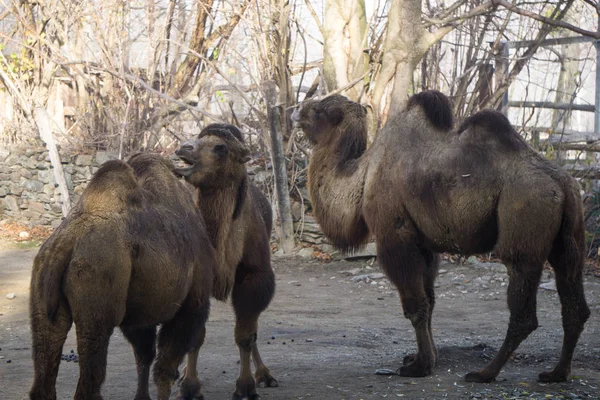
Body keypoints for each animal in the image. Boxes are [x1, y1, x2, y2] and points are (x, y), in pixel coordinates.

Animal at [29, 154, 216, 400]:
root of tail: (64, 244)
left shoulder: (139, 316)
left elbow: (144, 356)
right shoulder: (191, 305)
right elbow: (165, 368)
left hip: (42, 294)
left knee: (45, 369)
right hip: (96, 300)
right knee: (90, 375)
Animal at [173, 123, 276, 400]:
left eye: (221, 148)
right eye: (199, 139)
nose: (183, 148)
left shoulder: (255, 277)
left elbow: (246, 335)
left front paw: (246, 387)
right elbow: (195, 335)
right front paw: (190, 387)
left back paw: (265, 374)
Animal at [294, 92, 592, 382]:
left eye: (319, 110)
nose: (297, 111)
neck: (364, 175)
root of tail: (564, 185)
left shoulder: (395, 237)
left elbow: (415, 305)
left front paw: (420, 366)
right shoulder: (425, 244)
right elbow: (431, 301)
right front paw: (423, 357)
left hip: (525, 218)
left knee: (523, 308)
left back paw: (485, 373)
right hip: (570, 236)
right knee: (573, 299)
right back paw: (556, 373)